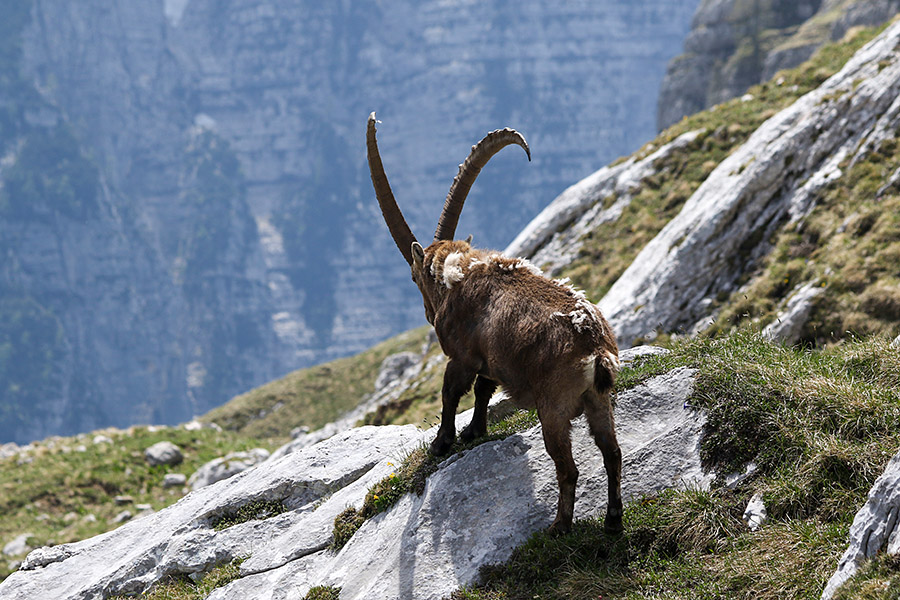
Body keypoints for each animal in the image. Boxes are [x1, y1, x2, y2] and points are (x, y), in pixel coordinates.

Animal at [366, 113, 622, 535]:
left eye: (415, 277)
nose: (427, 314)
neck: (458, 274)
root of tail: (596, 350)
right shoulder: (490, 358)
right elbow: (484, 390)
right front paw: (475, 431)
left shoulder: (462, 356)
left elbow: (451, 394)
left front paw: (442, 442)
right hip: (599, 403)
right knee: (612, 453)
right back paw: (613, 521)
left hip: (553, 408)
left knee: (568, 468)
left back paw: (560, 526)